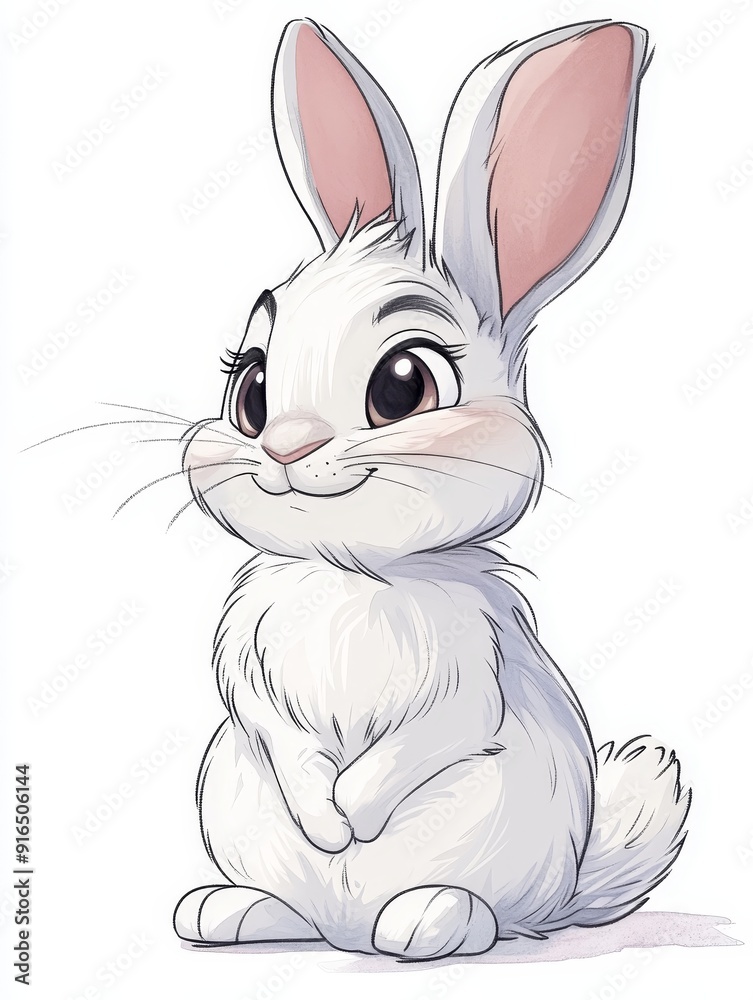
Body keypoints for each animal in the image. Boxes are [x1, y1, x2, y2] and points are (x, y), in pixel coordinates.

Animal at [173, 18, 690, 959]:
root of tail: (346, 935)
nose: (286, 445)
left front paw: (349, 816)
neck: (351, 573)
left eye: (403, 385)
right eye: (251, 387)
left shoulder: (472, 674)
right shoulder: (246, 667)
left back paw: (426, 921)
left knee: (485, 914)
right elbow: (275, 728)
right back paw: (229, 910)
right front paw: (325, 822)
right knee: (292, 908)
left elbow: (427, 740)